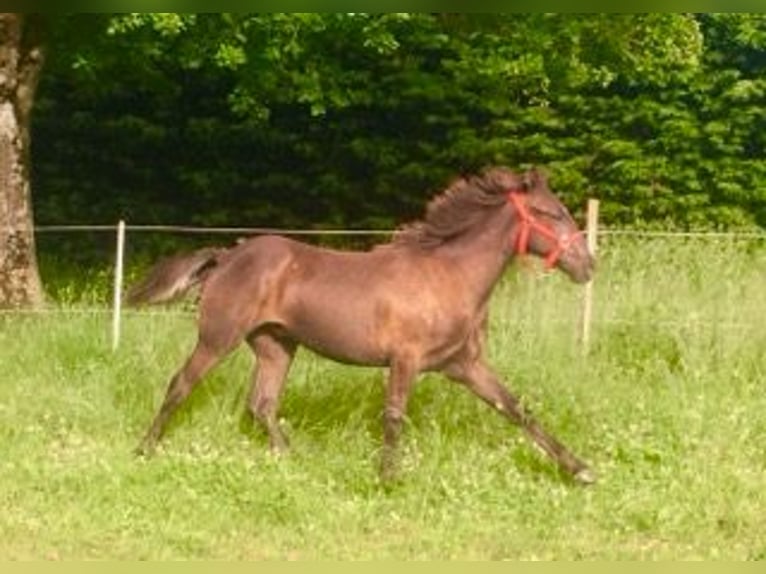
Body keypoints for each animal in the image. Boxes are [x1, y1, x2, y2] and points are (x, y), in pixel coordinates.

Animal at [127, 166, 596, 484]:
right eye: (551, 213)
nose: (588, 265)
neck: (448, 276)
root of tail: (227, 256)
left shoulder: (464, 365)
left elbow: (518, 409)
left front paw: (580, 470)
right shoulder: (405, 359)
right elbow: (394, 417)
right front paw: (388, 480)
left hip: (276, 346)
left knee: (262, 404)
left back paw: (292, 458)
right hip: (218, 338)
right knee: (180, 385)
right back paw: (144, 450)